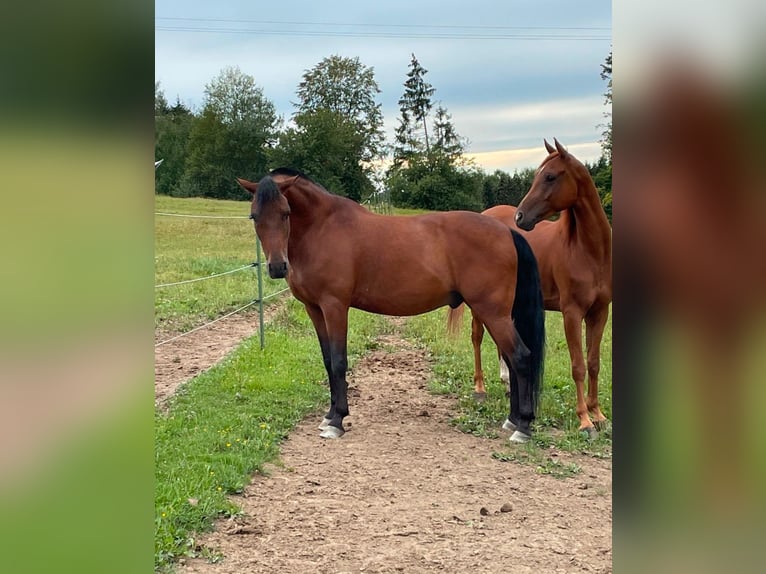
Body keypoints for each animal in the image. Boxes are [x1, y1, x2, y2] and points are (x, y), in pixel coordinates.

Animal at [238, 169, 544, 444]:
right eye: (255, 216)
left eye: (286, 213)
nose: (277, 267)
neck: (322, 228)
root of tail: (507, 232)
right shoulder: (314, 309)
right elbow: (327, 361)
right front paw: (329, 415)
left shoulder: (335, 307)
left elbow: (338, 361)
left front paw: (337, 421)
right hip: (493, 314)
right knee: (512, 360)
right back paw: (513, 420)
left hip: (493, 313)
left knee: (520, 357)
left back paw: (523, 427)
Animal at [448, 140, 616, 436]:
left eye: (550, 176)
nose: (520, 216)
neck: (588, 251)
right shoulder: (571, 313)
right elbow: (578, 366)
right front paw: (584, 420)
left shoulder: (600, 313)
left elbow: (594, 363)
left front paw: (599, 415)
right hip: (481, 305)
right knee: (477, 337)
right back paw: (480, 388)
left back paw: (507, 385)